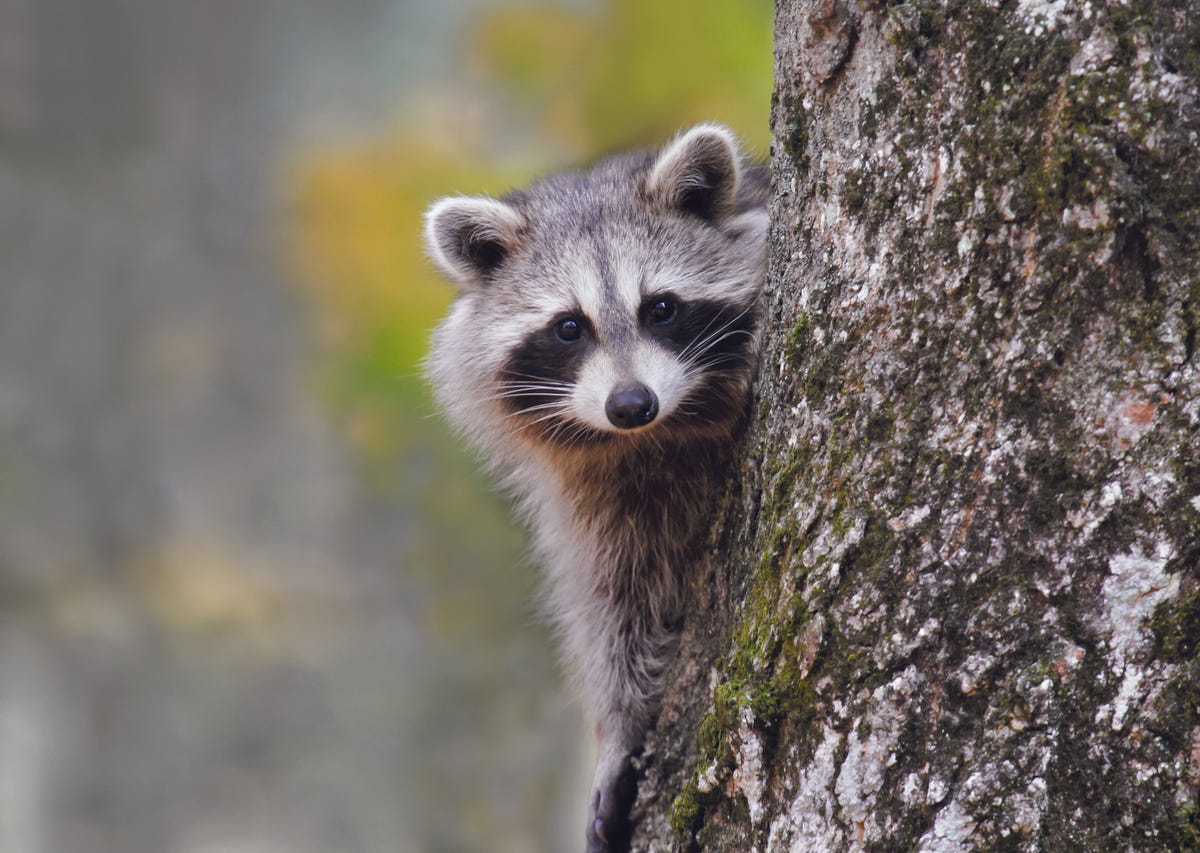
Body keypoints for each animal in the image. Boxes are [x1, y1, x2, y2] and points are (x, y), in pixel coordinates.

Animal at [420, 123, 768, 849]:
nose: (630, 403)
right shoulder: (593, 495)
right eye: (568, 327)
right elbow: (613, 599)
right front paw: (620, 726)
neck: (652, 438)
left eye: (660, 308)